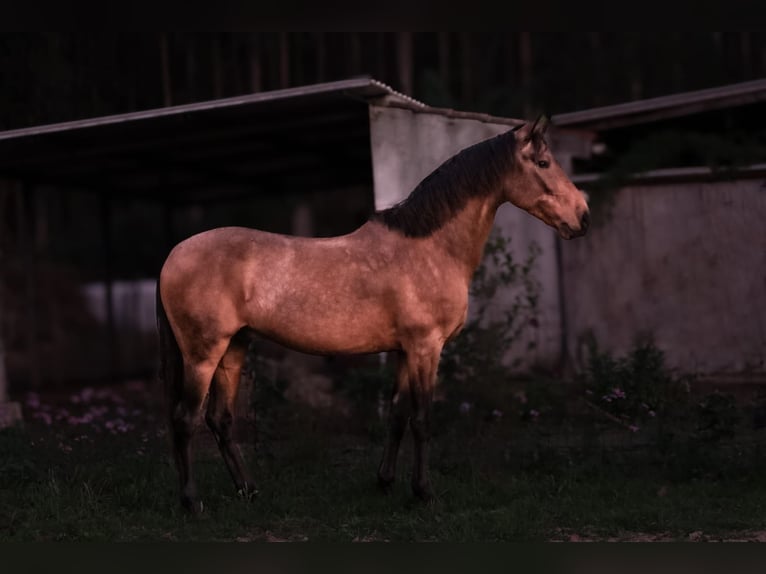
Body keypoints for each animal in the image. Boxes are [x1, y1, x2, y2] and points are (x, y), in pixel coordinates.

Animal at [156, 115, 590, 513]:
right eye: (544, 162)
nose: (583, 215)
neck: (429, 248)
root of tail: (173, 255)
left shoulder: (403, 352)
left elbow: (397, 416)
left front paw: (385, 483)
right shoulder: (426, 348)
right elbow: (422, 420)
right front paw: (424, 493)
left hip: (234, 349)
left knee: (220, 420)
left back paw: (248, 491)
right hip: (202, 355)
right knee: (185, 418)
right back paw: (191, 501)